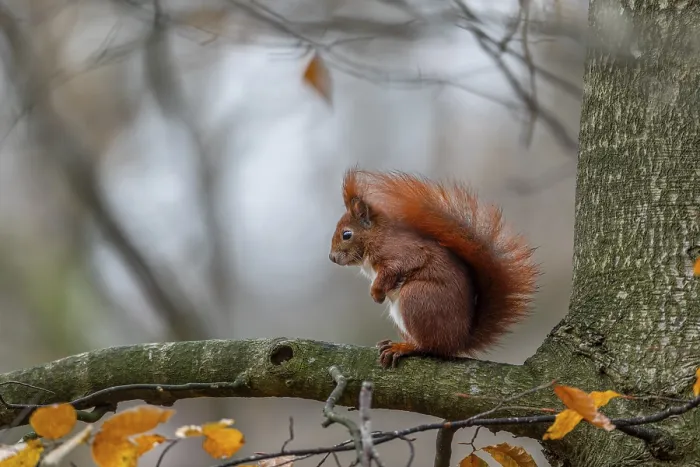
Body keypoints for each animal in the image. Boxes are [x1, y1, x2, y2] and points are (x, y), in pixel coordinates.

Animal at [329, 168, 539, 368]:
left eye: (346, 234)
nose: (331, 257)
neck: (376, 237)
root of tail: (458, 341)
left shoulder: (401, 253)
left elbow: (393, 270)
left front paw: (376, 292)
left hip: (416, 298)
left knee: (429, 346)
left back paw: (404, 347)